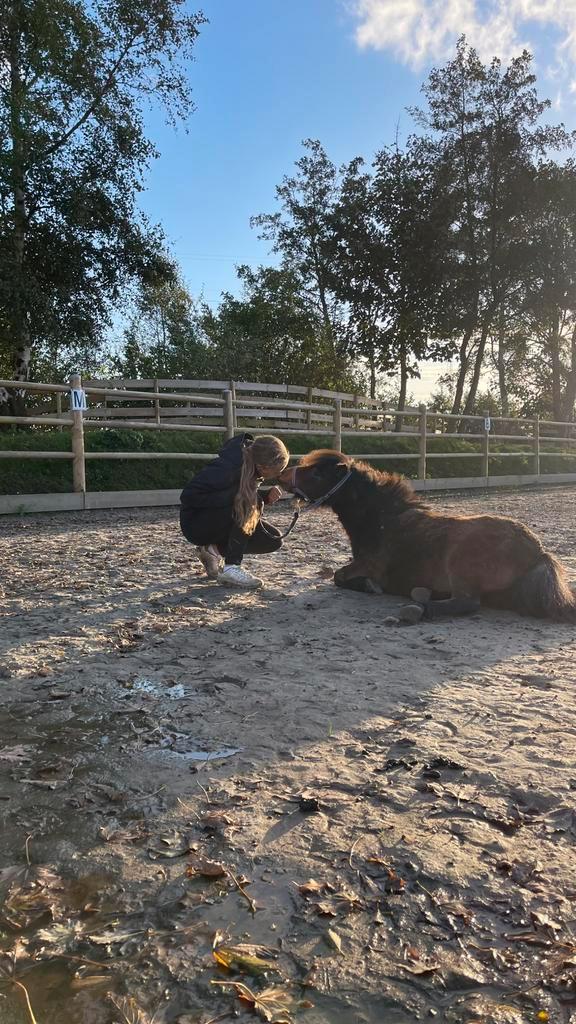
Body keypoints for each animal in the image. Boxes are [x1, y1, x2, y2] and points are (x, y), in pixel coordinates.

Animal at [279, 450, 576, 623]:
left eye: (317, 472)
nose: (283, 475)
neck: (382, 521)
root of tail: (538, 551)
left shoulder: (369, 566)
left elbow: (339, 576)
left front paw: (370, 587)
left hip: (460, 565)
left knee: (468, 603)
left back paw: (421, 608)